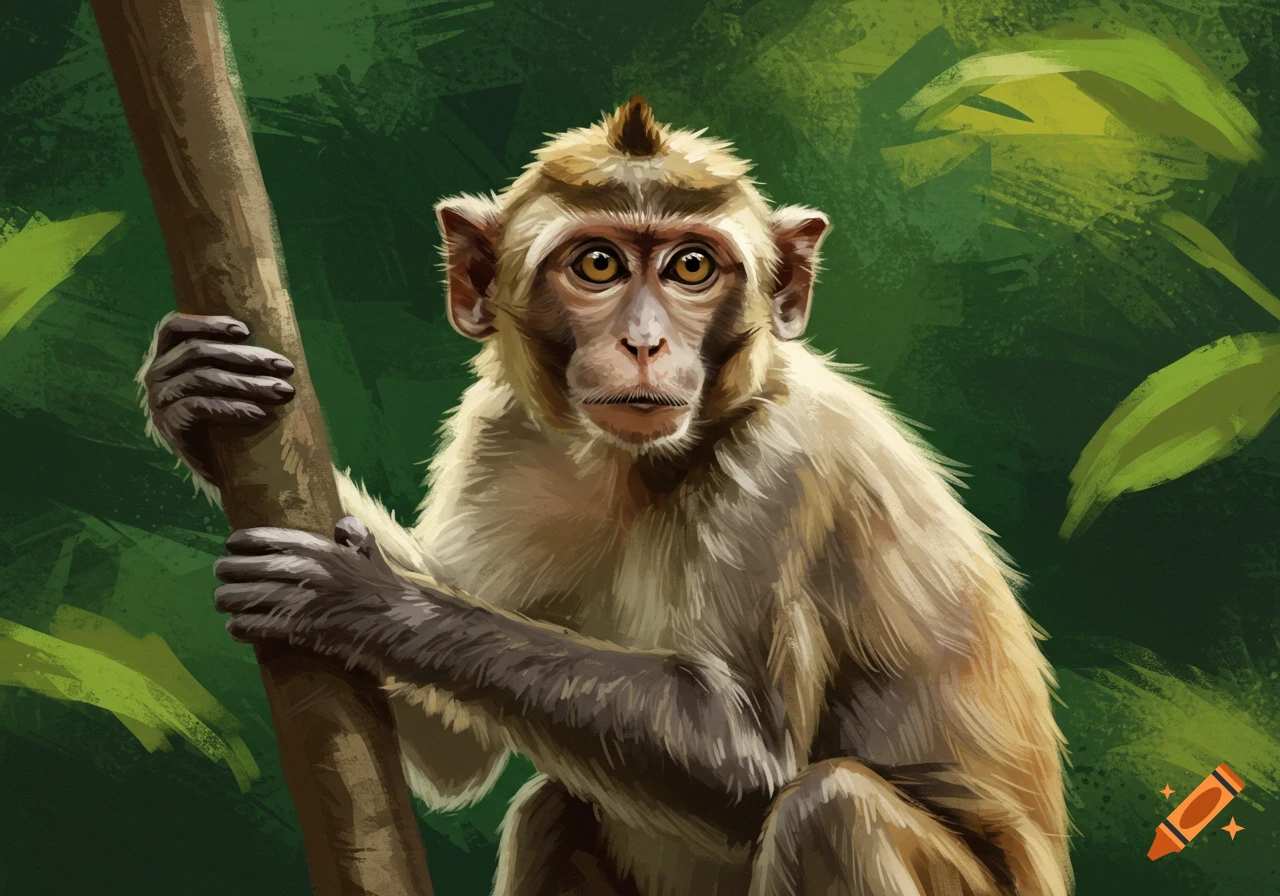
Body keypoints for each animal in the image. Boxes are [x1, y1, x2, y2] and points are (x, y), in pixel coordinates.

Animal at [137, 96, 1071, 896]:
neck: (641, 467)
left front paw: (366, 597)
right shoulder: (503, 441)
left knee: (829, 812)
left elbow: (746, 753)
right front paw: (189, 397)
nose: (645, 342)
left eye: (692, 266)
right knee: (558, 808)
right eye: (598, 264)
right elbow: (456, 752)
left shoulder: (782, 463)